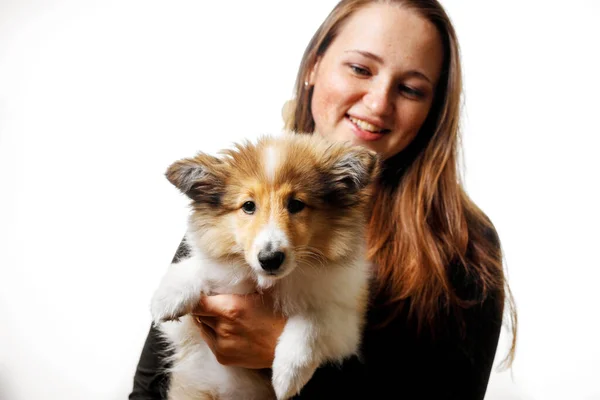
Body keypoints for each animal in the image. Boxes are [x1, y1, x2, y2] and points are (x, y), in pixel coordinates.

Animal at [152, 133, 380, 398]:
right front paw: (169, 296)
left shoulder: (347, 323)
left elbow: (315, 319)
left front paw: (288, 374)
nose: (270, 259)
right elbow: (209, 267)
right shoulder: (191, 332)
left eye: (296, 204)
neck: (273, 282)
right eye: (248, 206)